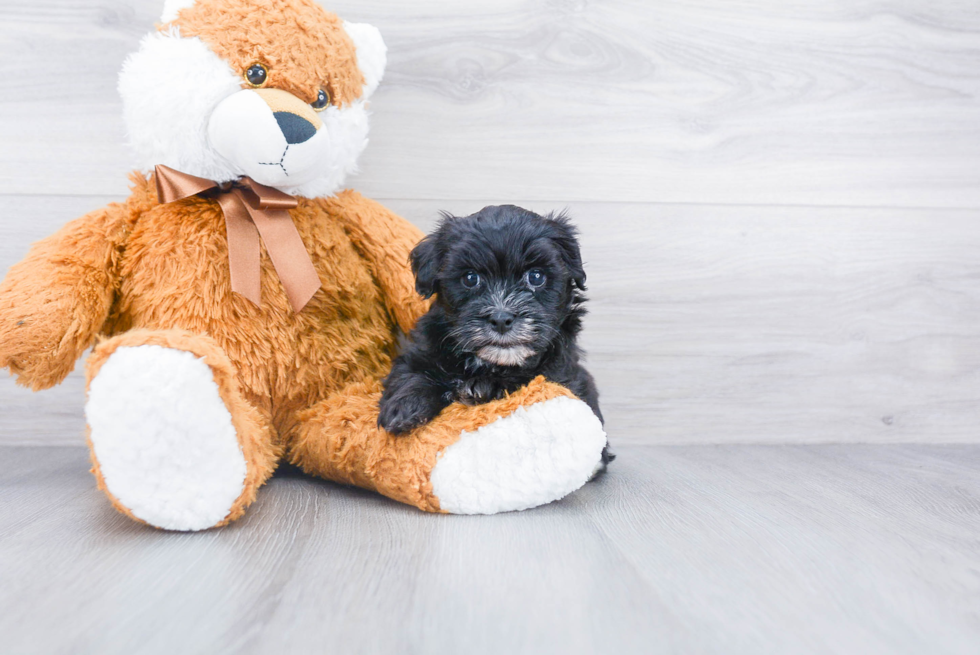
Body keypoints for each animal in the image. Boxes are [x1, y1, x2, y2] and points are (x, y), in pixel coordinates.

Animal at [378, 205, 612, 472]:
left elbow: (526, 379)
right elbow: (411, 372)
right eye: (470, 278)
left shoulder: (558, 373)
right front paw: (404, 408)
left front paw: (483, 387)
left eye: (536, 277)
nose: (501, 318)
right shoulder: (423, 350)